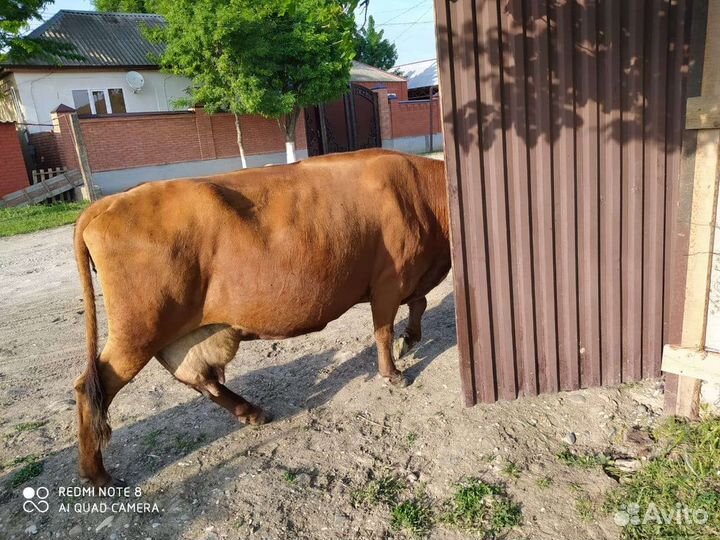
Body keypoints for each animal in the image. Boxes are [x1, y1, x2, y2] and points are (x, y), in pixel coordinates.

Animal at [73, 149, 451, 486]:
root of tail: (109, 202)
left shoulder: (413, 277)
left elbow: (420, 303)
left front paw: (410, 338)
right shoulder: (390, 279)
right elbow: (384, 330)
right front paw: (394, 372)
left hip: (174, 331)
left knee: (198, 377)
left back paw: (250, 411)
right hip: (138, 330)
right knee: (92, 387)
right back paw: (98, 475)